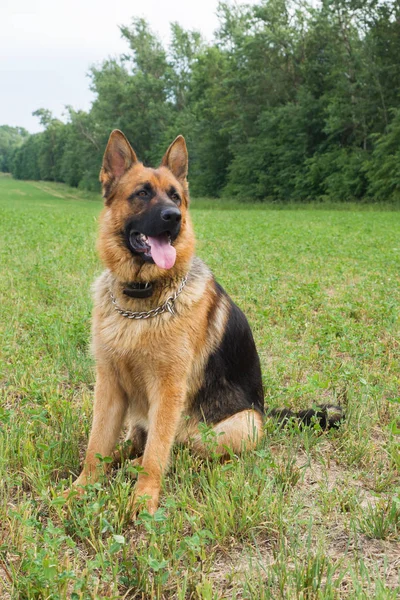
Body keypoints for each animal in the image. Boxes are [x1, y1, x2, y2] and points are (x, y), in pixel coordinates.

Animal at [68, 131, 340, 516]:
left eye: (175, 196)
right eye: (142, 193)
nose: (174, 217)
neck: (143, 297)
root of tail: (265, 413)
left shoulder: (168, 389)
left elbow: (157, 454)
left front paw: (144, 500)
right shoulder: (109, 385)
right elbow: (96, 446)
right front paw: (79, 490)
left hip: (233, 427)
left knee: (182, 451)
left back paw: (139, 467)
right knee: (136, 442)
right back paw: (122, 459)